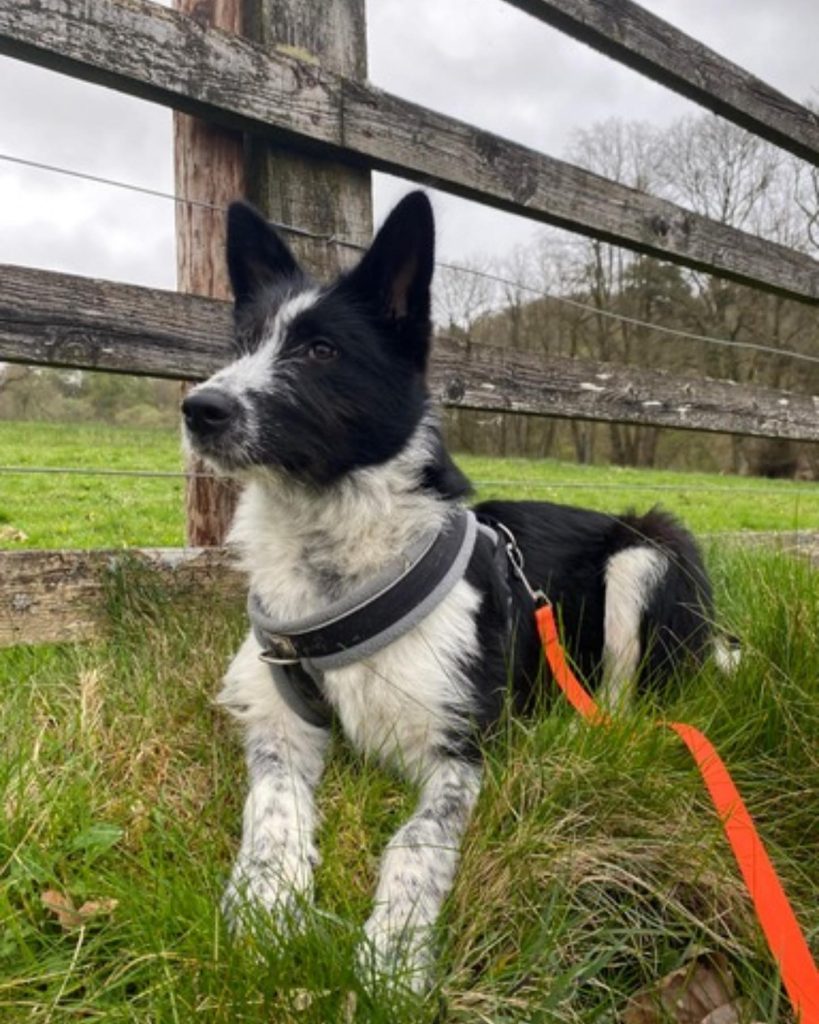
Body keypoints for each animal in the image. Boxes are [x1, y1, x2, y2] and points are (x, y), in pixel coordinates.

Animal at [181, 192, 724, 991]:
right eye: (243, 342)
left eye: (320, 351)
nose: (199, 408)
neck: (341, 565)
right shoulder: (279, 726)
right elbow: (272, 803)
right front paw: (264, 901)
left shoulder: (456, 753)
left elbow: (416, 839)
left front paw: (393, 949)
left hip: (646, 551)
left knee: (621, 705)